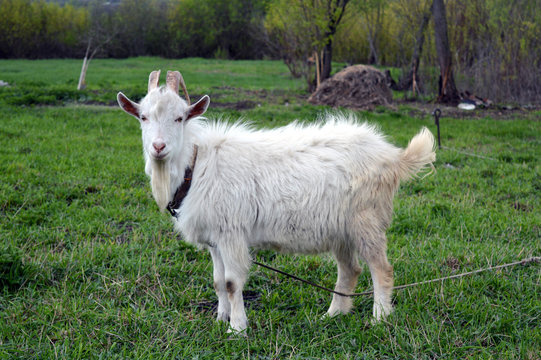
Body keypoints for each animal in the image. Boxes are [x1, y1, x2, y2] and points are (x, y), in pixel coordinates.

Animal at [117, 69, 434, 332]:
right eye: (143, 117)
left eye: (180, 117)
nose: (159, 147)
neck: (196, 165)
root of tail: (392, 157)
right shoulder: (215, 238)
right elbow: (218, 282)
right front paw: (220, 319)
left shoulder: (231, 233)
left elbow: (231, 283)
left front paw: (237, 328)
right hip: (340, 228)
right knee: (350, 270)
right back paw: (334, 314)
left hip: (366, 220)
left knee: (381, 268)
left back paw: (380, 317)